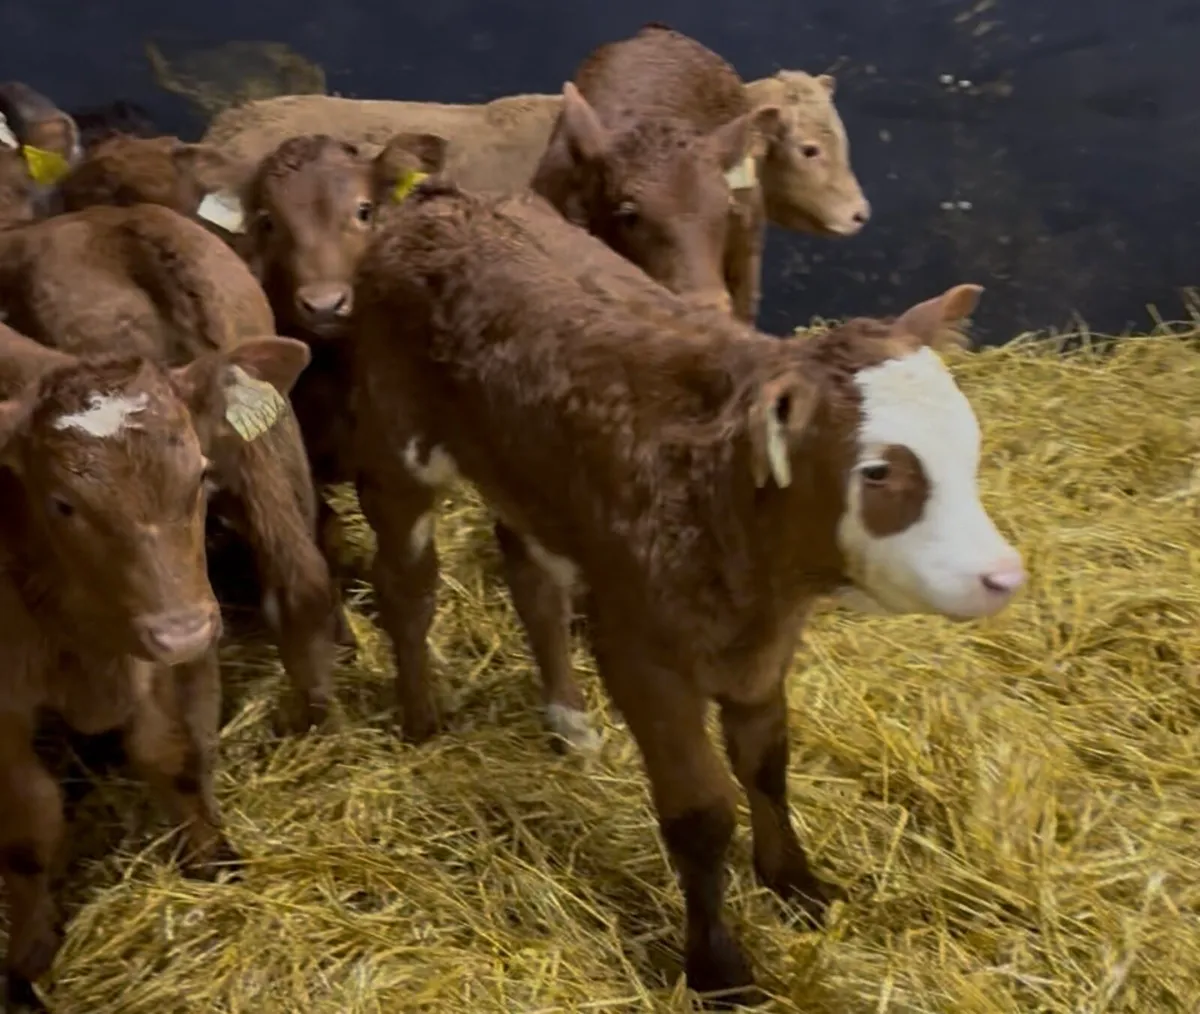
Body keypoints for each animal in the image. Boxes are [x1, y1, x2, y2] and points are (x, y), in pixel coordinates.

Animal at [0, 320, 309, 1013]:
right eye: (62, 504)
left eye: (199, 473)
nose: (184, 631)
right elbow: (31, 824)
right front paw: (28, 956)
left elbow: (173, 755)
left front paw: (214, 859)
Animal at [348, 180, 1024, 1006]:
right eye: (878, 471)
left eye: (968, 443)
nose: (1002, 573)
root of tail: (440, 199)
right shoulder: (642, 654)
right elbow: (701, 813)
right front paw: (719, 969)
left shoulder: (763, 649)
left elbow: (767, 763)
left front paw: (795, 883)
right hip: (394, 450)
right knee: (405, 583)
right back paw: (420, 719)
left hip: (527, 481)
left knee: (532, 579)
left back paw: (567, 720)